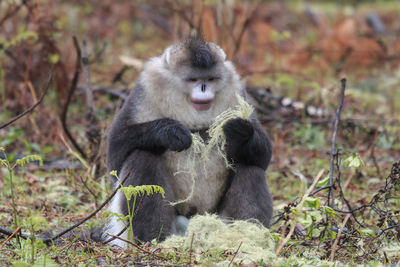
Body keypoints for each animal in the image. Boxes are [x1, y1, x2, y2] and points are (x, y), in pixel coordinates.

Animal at [102, 37, 272, 247]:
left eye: (210, 79)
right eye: (193, 80)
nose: (203, 88)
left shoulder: (237, 93)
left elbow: (264, 155)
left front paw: (239, 133)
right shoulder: (143, 92)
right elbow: (115, 154)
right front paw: (168, 132)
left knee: (251, 165)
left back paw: (244, 238)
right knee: (141, 156)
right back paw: (155, 240)